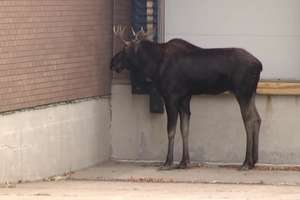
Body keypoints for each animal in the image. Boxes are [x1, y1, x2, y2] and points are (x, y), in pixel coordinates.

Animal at [110, 26, 262, 170]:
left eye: (124, 49)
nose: (112, 62)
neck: (154, 66)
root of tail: (259, 65)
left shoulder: (171, 96)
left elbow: (171, 130)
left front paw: (168, 162)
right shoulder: (185, 97)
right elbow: (185, 129)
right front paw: (184, 162)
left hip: (242, 92)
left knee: (248, 120)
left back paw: (246, 163)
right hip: (251, 93)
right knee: (257, 118)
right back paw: (253, 161)